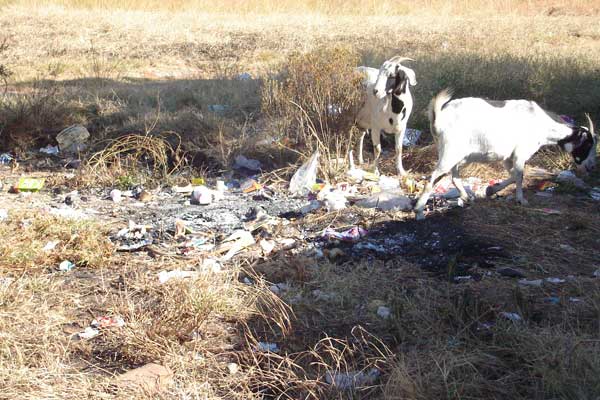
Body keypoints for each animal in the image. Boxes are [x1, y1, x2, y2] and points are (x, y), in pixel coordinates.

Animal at [414, 88, 596, 219]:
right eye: (588, 143)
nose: (592, 166)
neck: (542, 124)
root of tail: (439, 118)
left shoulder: (508, 157)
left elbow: (514, 175)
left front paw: (491, 190)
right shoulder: (520, 153)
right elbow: (520, 176)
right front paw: (521, 200)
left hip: (456, 154)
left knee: (454, 176)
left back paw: (466, 198)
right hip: (450, 153)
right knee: (432, 179)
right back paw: (419, 212)